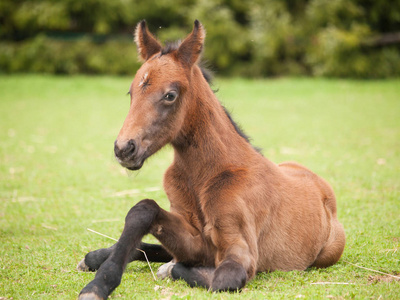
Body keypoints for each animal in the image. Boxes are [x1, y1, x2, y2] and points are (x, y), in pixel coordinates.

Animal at [77, 19, 344, 298]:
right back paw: (95, 257)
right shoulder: (194, 235)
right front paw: (99, 283)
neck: (208, 173)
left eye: (170, 95)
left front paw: (162, 270)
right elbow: (144, 210)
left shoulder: (238, 253)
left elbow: (210, 275)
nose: (124, 149)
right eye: (131, 93)